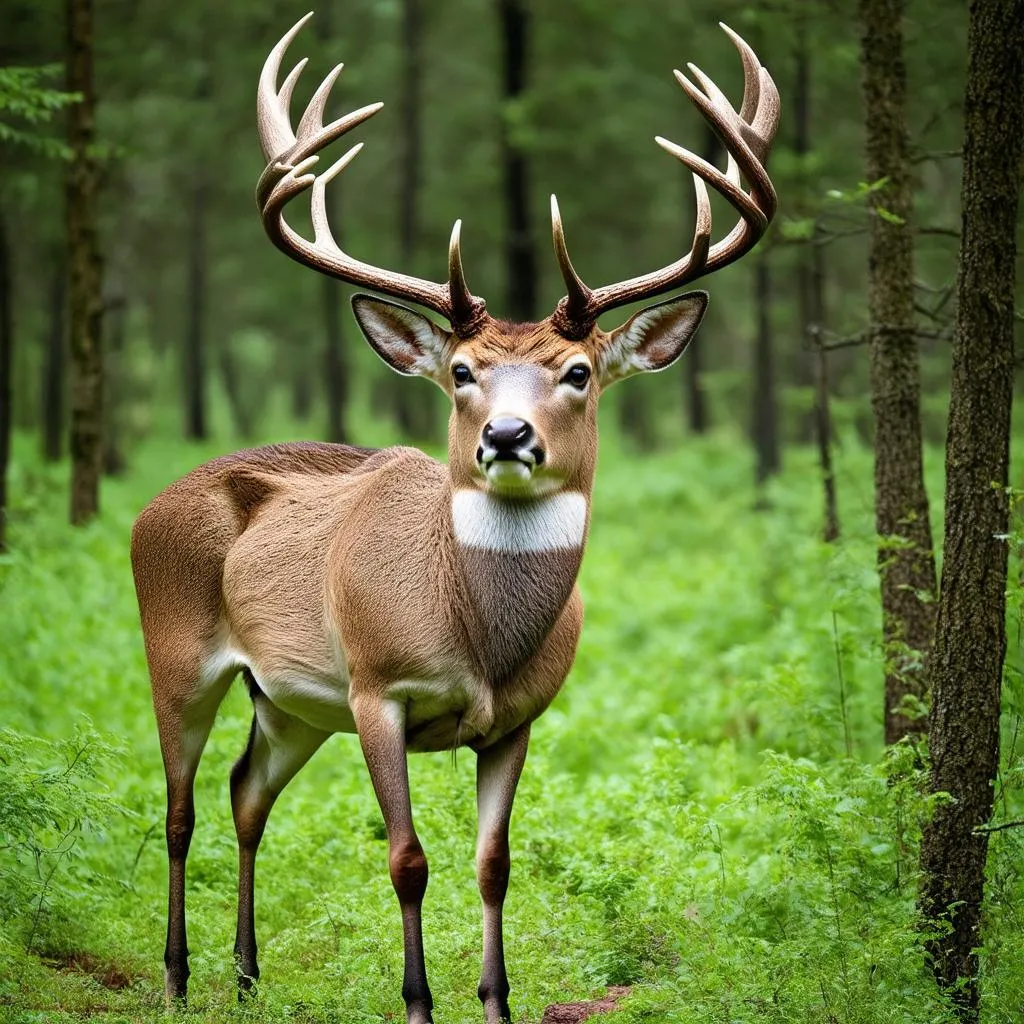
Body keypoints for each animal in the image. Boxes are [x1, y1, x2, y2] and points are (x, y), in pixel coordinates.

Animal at [132, 12, 778, 1019]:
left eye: (579, 372)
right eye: (463, 371)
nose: (508, 436)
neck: (474, 634)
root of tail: (150, 507)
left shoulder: (518, 717)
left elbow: (493, 864)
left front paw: (497, 999)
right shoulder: (375, 687)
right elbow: (407, 860)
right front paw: (418, 1000)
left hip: (288, 699)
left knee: (246, 793)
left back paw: (244, 974)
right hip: (178, 651)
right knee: (176, 806)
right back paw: (175, 975)